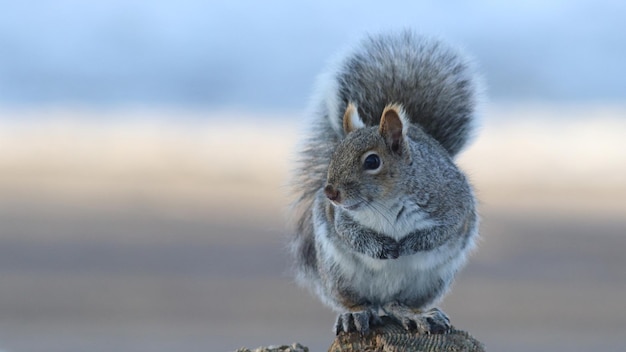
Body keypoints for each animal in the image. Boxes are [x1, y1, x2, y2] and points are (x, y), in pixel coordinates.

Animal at [290, 31, 480, 336]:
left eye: (372, 161)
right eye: (335, 153)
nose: (330, 192)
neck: (385, 202)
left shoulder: (453, 203)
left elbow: (443, 230)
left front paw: (410, 244)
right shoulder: (341, 216)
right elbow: (349, 233)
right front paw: (381, 247)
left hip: (428, 282)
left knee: (394, 304)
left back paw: (417, 315)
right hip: (338, 272)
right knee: (360, 302)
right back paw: (355, 314)